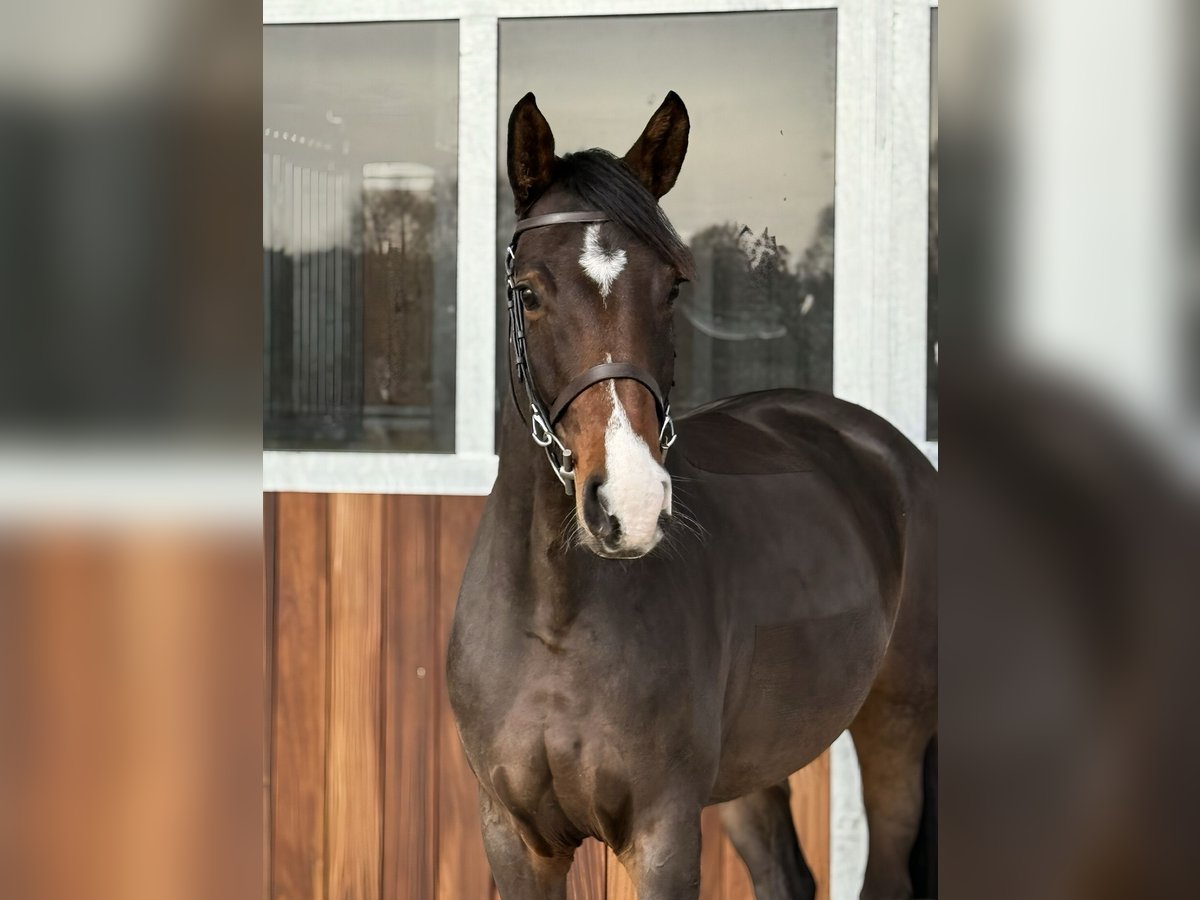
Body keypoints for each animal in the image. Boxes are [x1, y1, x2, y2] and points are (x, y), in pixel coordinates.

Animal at [447, 91, 937, 900]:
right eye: (528, 292)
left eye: (672, 286)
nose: (631, 505)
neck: (555, 618)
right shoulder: (515, 841)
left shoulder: (662, 832)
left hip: (897, 732)